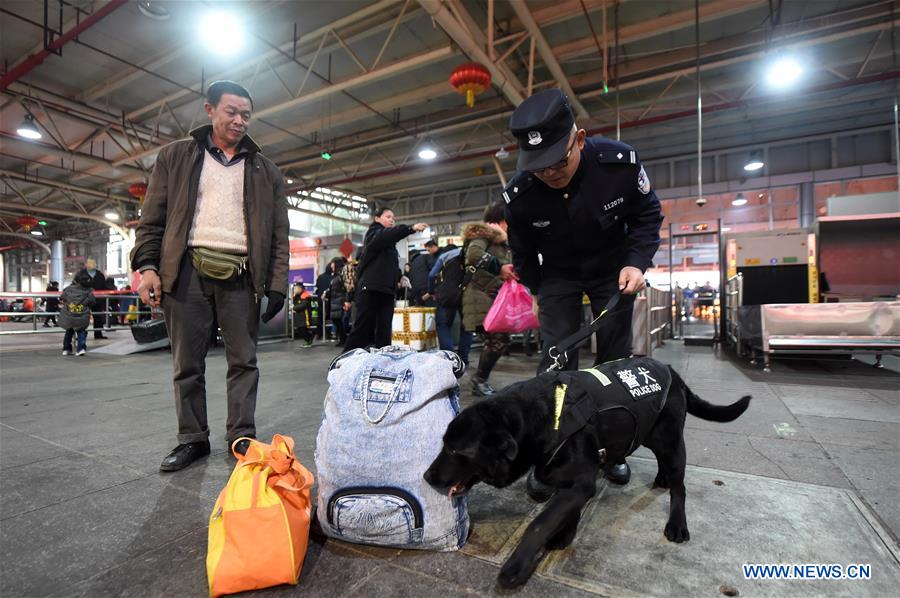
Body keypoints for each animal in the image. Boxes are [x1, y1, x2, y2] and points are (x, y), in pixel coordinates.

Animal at [426, 358, 748, 588]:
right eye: (444, 444)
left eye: (455, 450)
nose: (427, 477)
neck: (541, 420)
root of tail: (670, 370)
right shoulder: (570, 482)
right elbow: (564, 510)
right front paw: (565, 534)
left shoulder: (579, 483)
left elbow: (539, 523)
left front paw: (517, 565)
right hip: (652, 433)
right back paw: (662, 478)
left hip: (670, 440)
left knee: (680, 487)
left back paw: (677, 523)